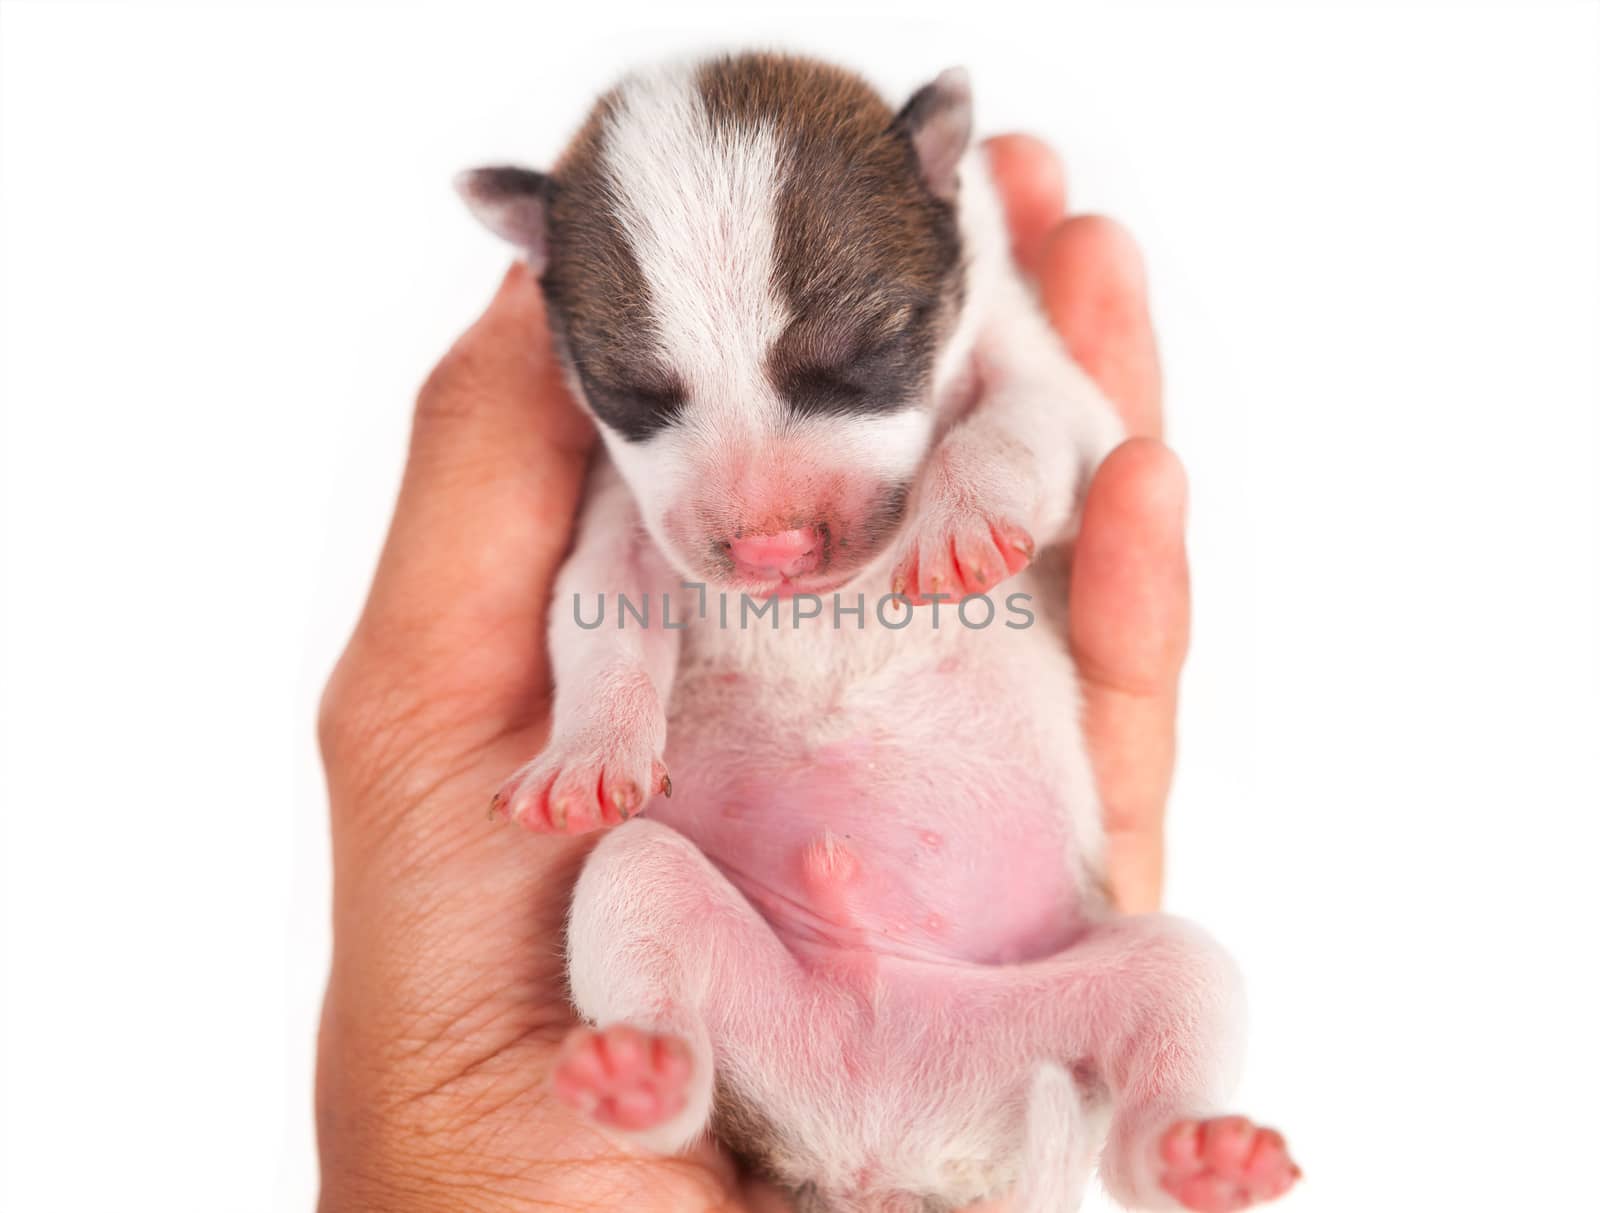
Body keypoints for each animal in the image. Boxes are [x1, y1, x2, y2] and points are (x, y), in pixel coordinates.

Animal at [454, 52, 1299, 1213]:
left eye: (864, 355)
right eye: (633, 393)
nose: (769, 550)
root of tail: (875, 1148)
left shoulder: (1061, 393)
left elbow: (1016, 426)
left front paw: (963, 518)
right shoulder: (623, 512)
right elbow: (603, 618)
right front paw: (587, 753)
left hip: (1108, 1001)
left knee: (1157, 1070)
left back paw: (1202, 1153)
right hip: (663, 910)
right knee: (664, 1016)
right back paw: (638, 1074)